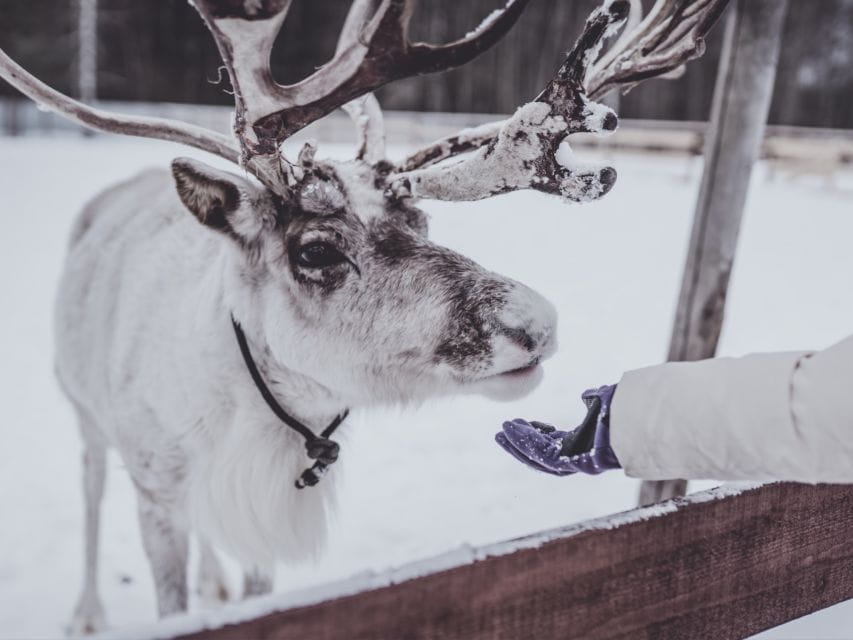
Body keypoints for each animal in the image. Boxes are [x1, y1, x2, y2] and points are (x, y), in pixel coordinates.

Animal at [0, 0, 727, 633]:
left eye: (423, 221)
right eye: (315, 249)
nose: (537, 324)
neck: (254, 417)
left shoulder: (269, 509)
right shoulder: (157, 488)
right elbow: (168, 600)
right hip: (85, 414)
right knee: (91, 493)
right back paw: (87, 612)